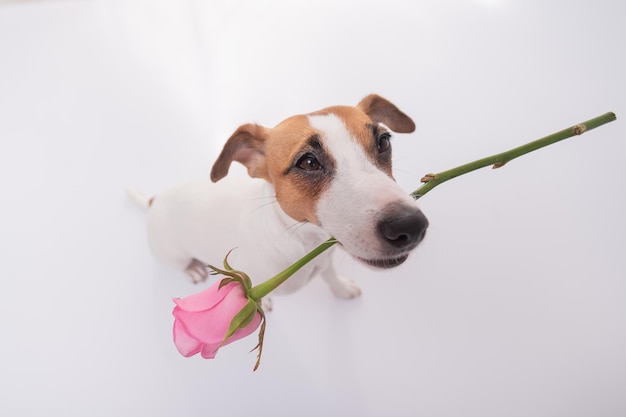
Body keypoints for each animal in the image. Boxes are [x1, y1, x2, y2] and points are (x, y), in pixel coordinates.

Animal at [129, 94, 426, 296]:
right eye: (308, 162)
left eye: (383, 142)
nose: (411, 225)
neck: (303, 242)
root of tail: (156, 200)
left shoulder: (325, 262)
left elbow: (330, 277)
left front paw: (342, 289)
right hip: (171, 253)